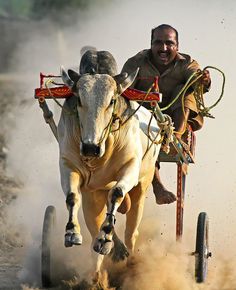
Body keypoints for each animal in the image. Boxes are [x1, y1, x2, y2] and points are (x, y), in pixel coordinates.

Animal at [59, 64, 162, 276]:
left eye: (112, 100)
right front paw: (72, 233)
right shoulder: (67, 165)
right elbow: (72, 197)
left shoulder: (130, 167)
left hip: (142, 186)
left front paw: (106, 239)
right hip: (93, 197)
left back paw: (129, 263)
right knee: (94, 234)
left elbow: (116, 194)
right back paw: (96, 275)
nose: (90, 147)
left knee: (132, 233)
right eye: (79, 99)